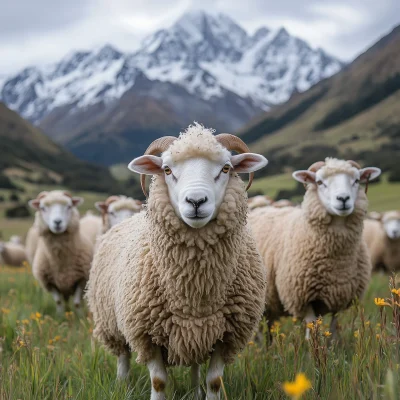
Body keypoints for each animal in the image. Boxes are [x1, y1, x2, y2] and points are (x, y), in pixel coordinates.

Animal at [87, 123, 268, 398]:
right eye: (167, 169)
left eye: (226, 168)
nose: (196, 201)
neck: (194, 291)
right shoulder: (146, 333)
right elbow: (159, 381)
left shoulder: (226, 336)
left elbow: (214, 381)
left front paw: (206, 392)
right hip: (111, 323)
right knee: (122, 356)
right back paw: (122, 385)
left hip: (194, 336)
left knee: (194, 365)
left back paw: (194, 391)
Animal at [250, 158, 382, 340]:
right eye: (320, 182)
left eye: (356, 180)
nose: (343, 198)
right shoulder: (303, 297)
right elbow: (311, 330)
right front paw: (311, 348)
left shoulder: (340, 296)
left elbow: (334, 331)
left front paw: (333, 345)